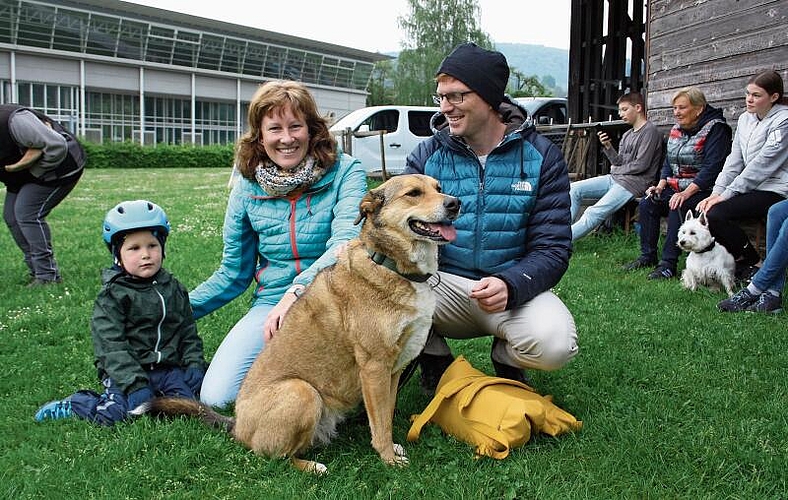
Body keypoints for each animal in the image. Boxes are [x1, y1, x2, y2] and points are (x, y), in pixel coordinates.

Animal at [139, 175, 458, 472]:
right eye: (413, 193)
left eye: (438, 187)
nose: (455, 203)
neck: (388, 264)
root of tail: (237, 424)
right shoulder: (374, 367)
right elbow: (380, 423)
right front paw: (388, 459)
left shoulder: (393, 370)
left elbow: (386, 416)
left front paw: (391, 448)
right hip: (302, 391)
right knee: (272, 457)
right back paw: (312, 467)